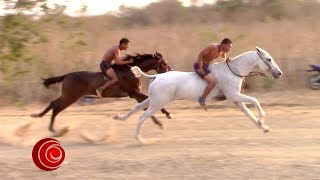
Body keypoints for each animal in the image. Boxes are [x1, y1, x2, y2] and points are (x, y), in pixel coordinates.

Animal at [30, 52, 172, 134]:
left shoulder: (135, 95)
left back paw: (41, 118)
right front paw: (167, 115)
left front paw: (160, 123)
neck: (131, 71)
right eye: (164, 62)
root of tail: (66, 76)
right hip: (70, 97)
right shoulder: (134, 93)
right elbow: (149, 104)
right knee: (56, 107)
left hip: (67, 96)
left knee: (53, 103)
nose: (170, 70)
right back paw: (52, 128)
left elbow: (145, 108)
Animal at [114, 46, 282, 143]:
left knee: (136, 108)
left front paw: (264, 127)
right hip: (158, 103)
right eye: (268, 59)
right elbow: (255, 101)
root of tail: (156, 76)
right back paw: (140, 139)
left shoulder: (236, 100)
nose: (279, 73)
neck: (233, 71)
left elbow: (249, 114)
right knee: (142, 116)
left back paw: (119, 118)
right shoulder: (233, 96)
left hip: (152, 100)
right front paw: (262, 120)